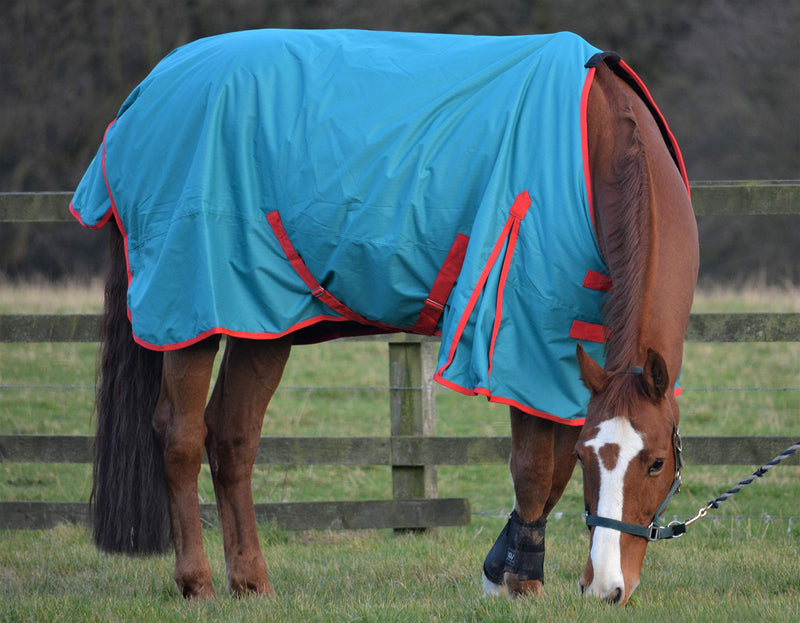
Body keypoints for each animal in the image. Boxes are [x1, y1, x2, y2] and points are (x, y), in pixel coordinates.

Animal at [71, 30, 698, 602]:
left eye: (656, 462)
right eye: (621, 461)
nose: (607, 587)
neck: (595, 141)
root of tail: (150, 88)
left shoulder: (571, 350)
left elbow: (553, 476)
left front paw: (506, 571)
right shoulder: (523, 342)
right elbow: (533, 470)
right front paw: (519, 581)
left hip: (261, 322)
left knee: (232, 438)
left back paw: (251, 583)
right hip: (191, 309)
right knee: (180, 436)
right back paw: (196, 582)